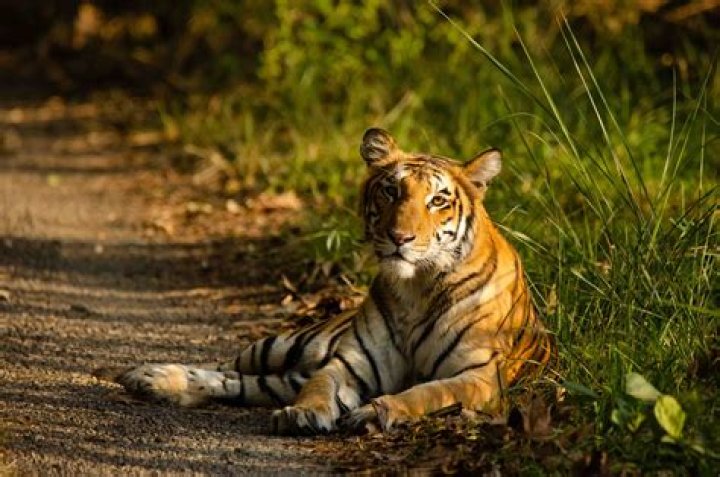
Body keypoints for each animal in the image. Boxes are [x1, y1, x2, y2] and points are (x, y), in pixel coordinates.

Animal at [105, 128, 555, 435]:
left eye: (438, 201)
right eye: (391, 191)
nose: (400, 238)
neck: (417, 289)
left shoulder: (480, 377)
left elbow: (425, 393)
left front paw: (375, 411)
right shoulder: (350, 362)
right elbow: (321, 386)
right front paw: (303, 413)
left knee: (245, 383)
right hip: (282, 346)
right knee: (230, 369)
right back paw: (151, 377)